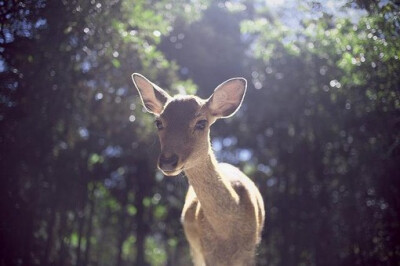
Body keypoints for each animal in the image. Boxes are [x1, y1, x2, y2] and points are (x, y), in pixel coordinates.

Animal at [132, 73, 266, 266]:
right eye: (158, 122)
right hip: (194, 250)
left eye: (201, 123)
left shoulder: (249, 252)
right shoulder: (206, 251)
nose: (167, 161)